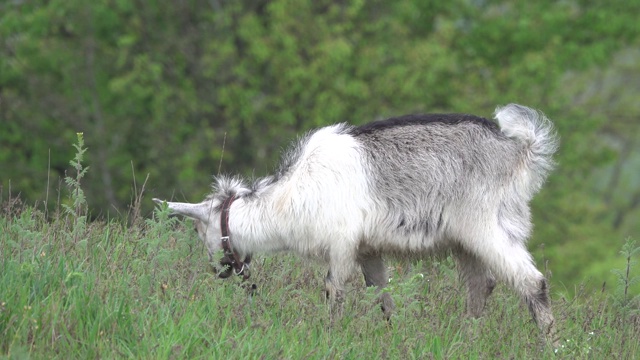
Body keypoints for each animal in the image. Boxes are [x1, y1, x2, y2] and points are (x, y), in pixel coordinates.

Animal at [155, 103, 560, 340]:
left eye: (201, 231)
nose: (221, 271)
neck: (293, 195)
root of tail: (518, 149)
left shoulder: (341, 245)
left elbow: (334, 294)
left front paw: (328, 339)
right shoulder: (368, 250)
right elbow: (383, 298)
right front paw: (393, 340)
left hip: (487, 226)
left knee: (531, 282)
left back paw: (550, 344)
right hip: (466, 239)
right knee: (481, 285)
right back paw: (465, 339)